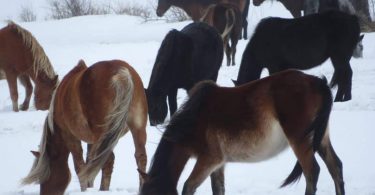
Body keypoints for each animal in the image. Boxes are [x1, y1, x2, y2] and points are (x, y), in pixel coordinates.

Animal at [21, 60, 148, 194]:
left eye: (45, 178)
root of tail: (121, 73)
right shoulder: (92, 141)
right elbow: (90, 162)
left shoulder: (70, 136)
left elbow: (80, 167)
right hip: (137, 129)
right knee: (140, 156)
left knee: (108, 160)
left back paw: (103, 190)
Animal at [140, 69, 346, 195]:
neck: (194, 119)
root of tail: (317, 82)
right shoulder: (218, 164)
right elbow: (218, 189)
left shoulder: (208, 160)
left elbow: (188, 187)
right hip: (320, 138)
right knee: (335, 167)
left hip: (300, 140)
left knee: (312, 172)